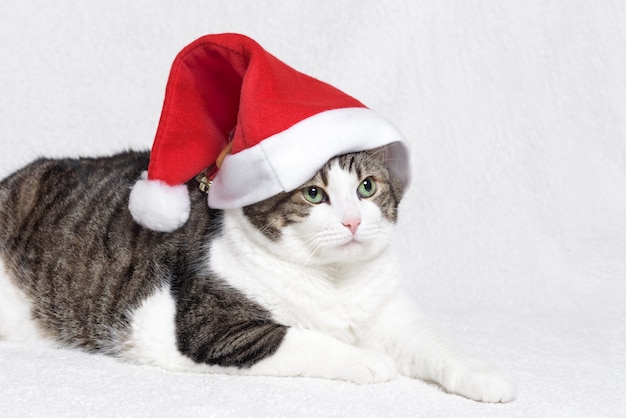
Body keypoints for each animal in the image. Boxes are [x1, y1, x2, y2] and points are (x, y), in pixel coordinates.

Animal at [0, 149, 516, 402]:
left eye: (367, 189)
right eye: (314, 194)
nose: (352, 221)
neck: (334, 282)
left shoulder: (392, 317)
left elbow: (438, 348)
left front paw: (487, 379)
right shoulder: (214, 327)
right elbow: (307, 338)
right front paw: (368, 361)